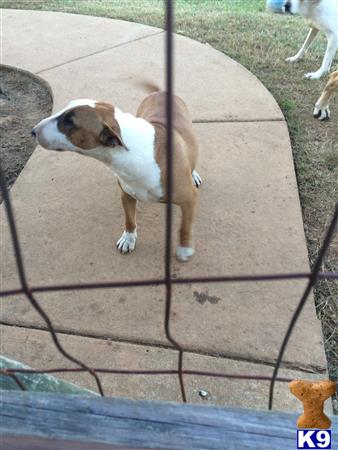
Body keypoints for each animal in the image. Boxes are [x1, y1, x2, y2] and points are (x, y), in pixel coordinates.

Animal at [31, 85, 201, 262]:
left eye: (70, 122)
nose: (33, 131)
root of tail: (161, 91)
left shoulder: (189, 199)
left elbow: (185, 226)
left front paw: (184, 248)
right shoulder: (126, 194)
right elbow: (129, 219)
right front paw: (128, 239)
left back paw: (193, 173)